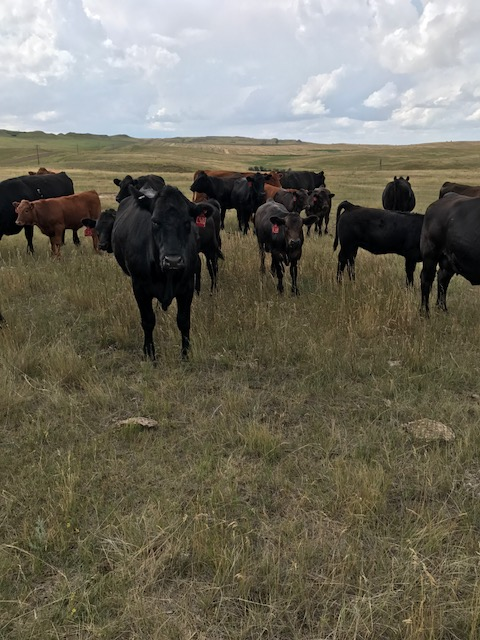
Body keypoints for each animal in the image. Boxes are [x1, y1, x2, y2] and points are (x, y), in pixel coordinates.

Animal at [84, 185, 210, 360]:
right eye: (155, 221)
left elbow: (184, 321)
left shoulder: (187, 286)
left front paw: (185, 354)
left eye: (187, 222)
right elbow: (148, 320)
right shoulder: (140, 287)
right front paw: (149, 353)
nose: (172, 260)